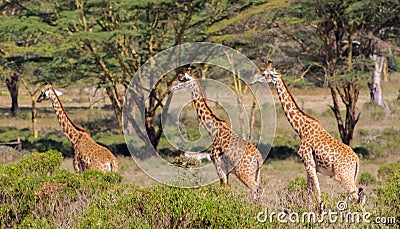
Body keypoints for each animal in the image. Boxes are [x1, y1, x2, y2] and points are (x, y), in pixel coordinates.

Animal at [168, 67, 264, 199]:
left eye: (181, 78)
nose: (169, 88)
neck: (213, 130)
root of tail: (258, 157)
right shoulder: (225, 170)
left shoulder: (219, 166)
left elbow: (223, 189)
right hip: (256, 173)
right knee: (260, 190)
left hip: (244, 173)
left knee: (255, 189)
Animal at [252, 60, 364, 211]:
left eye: (264, 73)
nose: (252, 80)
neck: (301, 129)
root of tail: (356, 160)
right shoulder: (310, 165)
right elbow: (309, 190)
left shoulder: (308, 162)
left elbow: (316, 190)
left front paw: (319, 210)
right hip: (351, 176)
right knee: (359, 196)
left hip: (343, 176)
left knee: (356, 195)